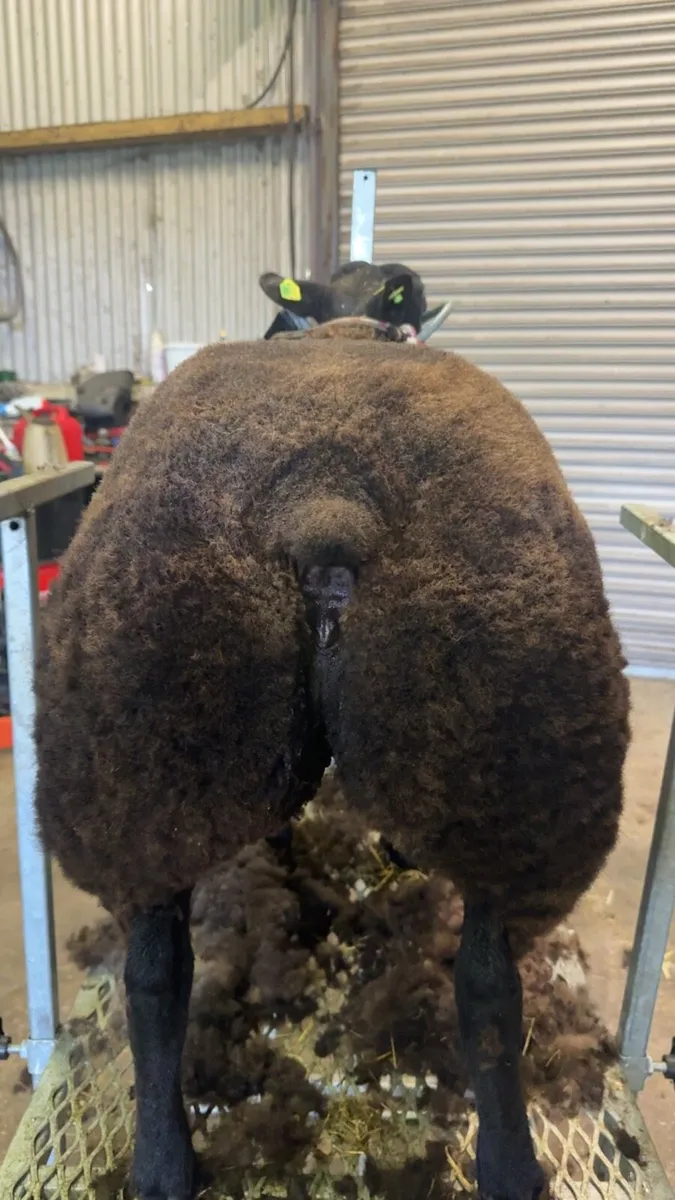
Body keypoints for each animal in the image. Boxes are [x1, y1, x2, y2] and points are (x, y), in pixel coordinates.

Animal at [35, 320, 629, 1200]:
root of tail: (325, 499)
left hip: (141, 781)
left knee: (155, 978)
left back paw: (164, 1164)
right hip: (498, 788)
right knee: (488, 986)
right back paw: (507, 1167)